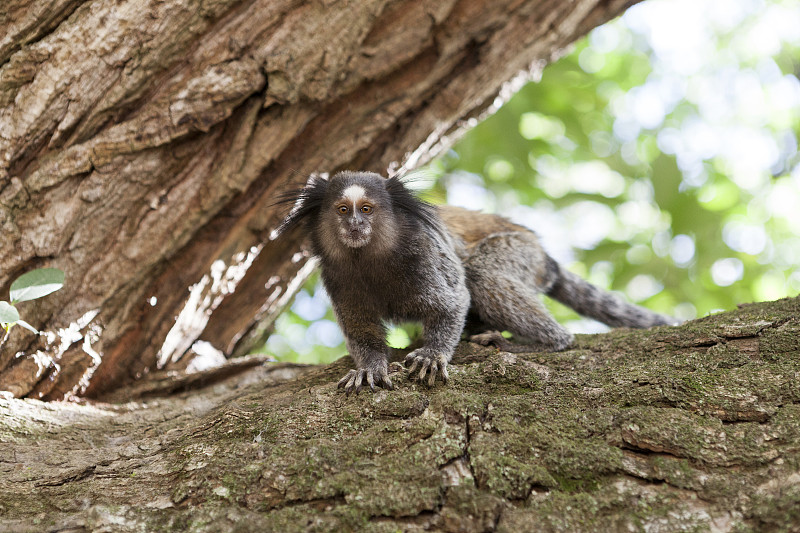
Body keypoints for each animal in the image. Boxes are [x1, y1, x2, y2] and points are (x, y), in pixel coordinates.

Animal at [278, 170, 672, 390]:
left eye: (367, 209)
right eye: (343, 210)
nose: (355, 225)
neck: (370, 260)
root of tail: (546, 258)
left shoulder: (426, 253)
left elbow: (454, 301)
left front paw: (433, 354)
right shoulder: (338, 277)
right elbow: (361, 331)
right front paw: (370, 367)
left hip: (520, 251)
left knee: (483, 275)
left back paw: (540, 343)